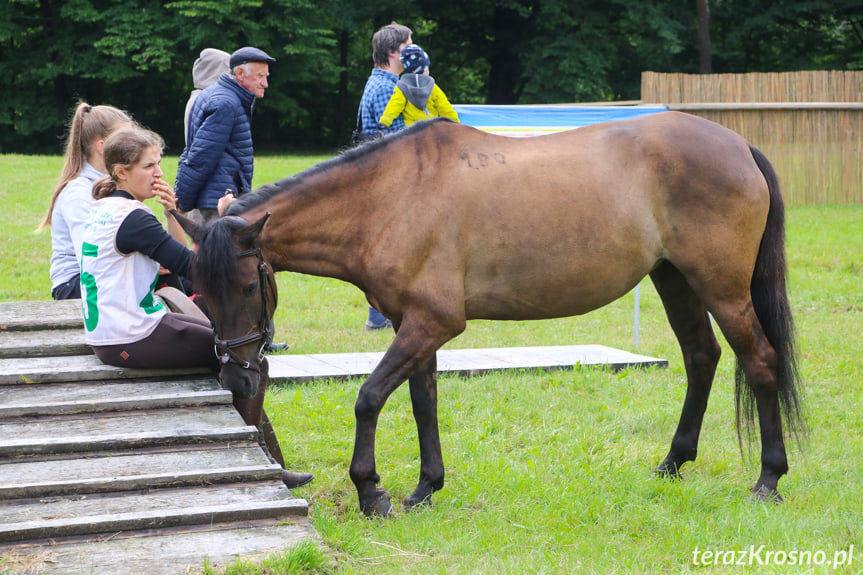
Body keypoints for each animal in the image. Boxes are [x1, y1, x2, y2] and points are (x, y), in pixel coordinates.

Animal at [176, 112, 804, 516]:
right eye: (198, 291)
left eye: (246, 286)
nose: (237, 379)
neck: (390, 196)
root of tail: (739, 146)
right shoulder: (416, 325)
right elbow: (423, 403)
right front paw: (425, 489)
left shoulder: (432, 323)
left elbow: (370, 398)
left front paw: (371, 492)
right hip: (675, 279)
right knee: (701, 357)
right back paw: (673, 463)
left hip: (722, 288)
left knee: (759, 362)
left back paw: (769, 479)